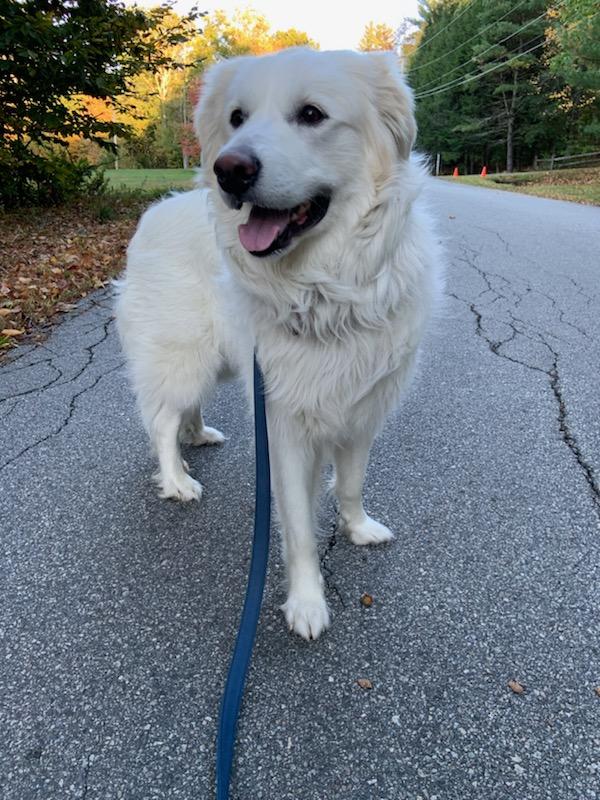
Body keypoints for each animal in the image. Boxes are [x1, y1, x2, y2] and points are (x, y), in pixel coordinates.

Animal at [117, 48, 442, 636]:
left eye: (312, 114)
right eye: (237, 118)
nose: (228, 170)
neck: (324, 290)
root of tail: (151, 214)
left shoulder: (361, 412)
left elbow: (351, 484)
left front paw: (358, 528)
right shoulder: (284, 427)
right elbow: (300, 528)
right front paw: (308, 604)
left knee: (183, 414)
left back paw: (199, 437)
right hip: (184, 360)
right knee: (161, 422)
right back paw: (177, 480)